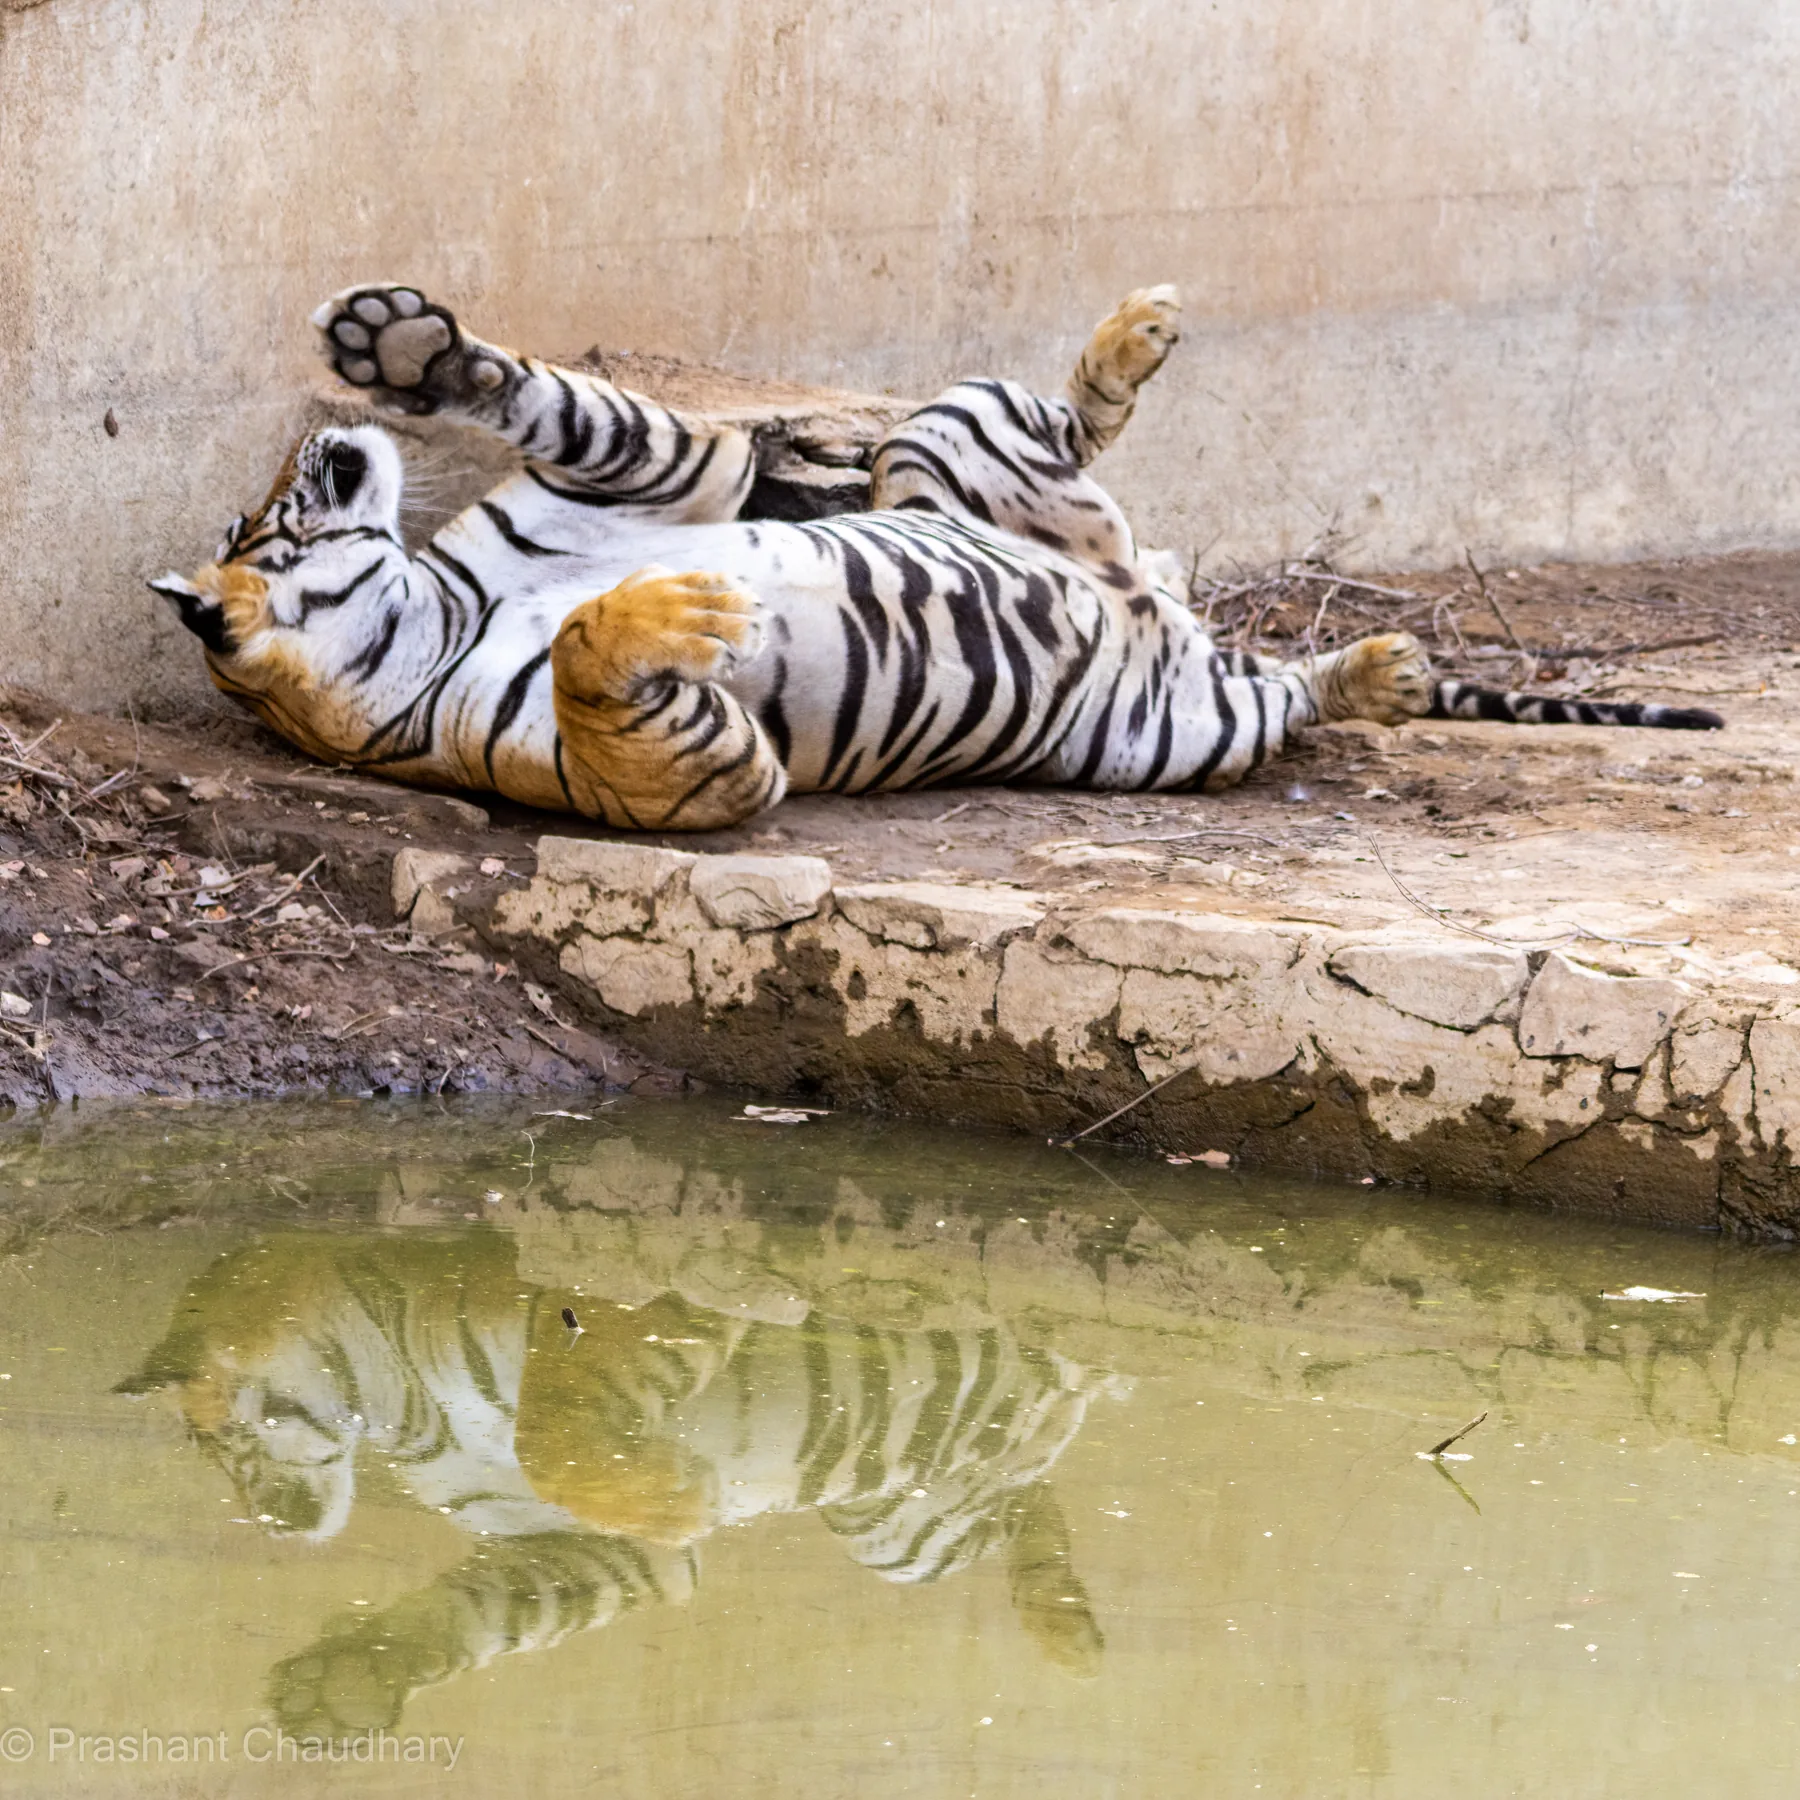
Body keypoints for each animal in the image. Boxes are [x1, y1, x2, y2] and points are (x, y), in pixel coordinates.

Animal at [118, 1230, 1112, 1734]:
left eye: (222, 1447)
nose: (268, 1520)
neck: (400, 1404)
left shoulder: (620, 1305)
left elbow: (552, 1420)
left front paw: (688, 1492)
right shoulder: (574, 1542)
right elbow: (491, 1613)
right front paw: (342, 1687)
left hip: (900, 1532)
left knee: (1046, 1452)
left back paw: (1070, 1633)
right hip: (899, 1513)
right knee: (1028, 1488)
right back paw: (1070, 1627)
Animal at [149, 280, 1722, 832]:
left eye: (259, 511)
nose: (314, 449)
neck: (431, 610)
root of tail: (1163, 605)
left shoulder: (663, 470)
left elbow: (561, 403)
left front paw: (400, 346)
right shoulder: (692, 771)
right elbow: (604, 658)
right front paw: (684, 609)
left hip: (940, 443)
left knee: (1076, 421)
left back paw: (1134, 335)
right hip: (1177, 733)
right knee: (1289, 692)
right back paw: (1381, 671)